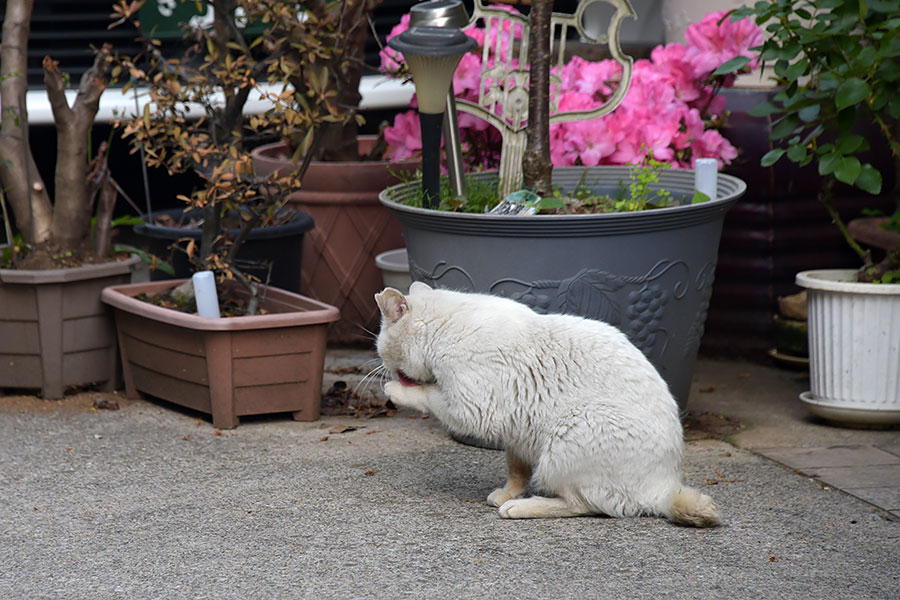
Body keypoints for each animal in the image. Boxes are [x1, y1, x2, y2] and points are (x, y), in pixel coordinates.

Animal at [376, 284, 720, 528]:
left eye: (382, 350)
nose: (384, 368)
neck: (445, 327)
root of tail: (663, 487)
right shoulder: (517, 430)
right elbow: (516, 468)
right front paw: (508, 491)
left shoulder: (470, 407)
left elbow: (426, 395)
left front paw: (394, 389)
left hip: (571, 432)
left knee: (588, 506)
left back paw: (519, 508)